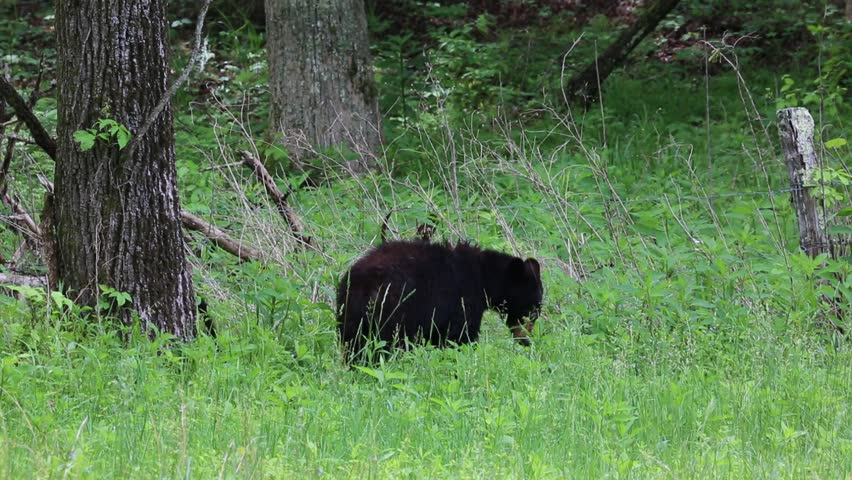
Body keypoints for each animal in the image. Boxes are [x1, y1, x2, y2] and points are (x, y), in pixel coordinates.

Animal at [336, 240, 542, 363]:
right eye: (532, 311)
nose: (526, 341)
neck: (484, 277)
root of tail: (361, 283)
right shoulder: (462, 301)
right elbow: (460, 336)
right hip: (393, 311)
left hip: (349, 313)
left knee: (353, 343)